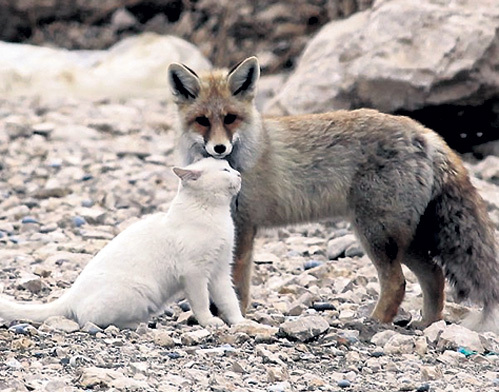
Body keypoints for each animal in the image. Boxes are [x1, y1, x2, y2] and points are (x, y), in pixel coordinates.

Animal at [0, 158, 246, 330]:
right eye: (225, 170)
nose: (239, 173)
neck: (216, 215)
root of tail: (71, 294)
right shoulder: (195, 274)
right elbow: (202, 303)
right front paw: (210, 322)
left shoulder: (220, 272)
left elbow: (230, 301)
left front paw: (241, 323)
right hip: (138, 292)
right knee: (91, 320)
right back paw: (138, 325)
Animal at [168, 56, 499, 332]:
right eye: (202, 120)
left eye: (230, 118)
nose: (219, 148)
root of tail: (426, 133)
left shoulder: (245, 225)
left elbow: (236, 283)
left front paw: (233, 315)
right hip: (405, 240)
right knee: (434, 276)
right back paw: (427, 324)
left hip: (376, 234)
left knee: (397, 283)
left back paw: (374, 323)